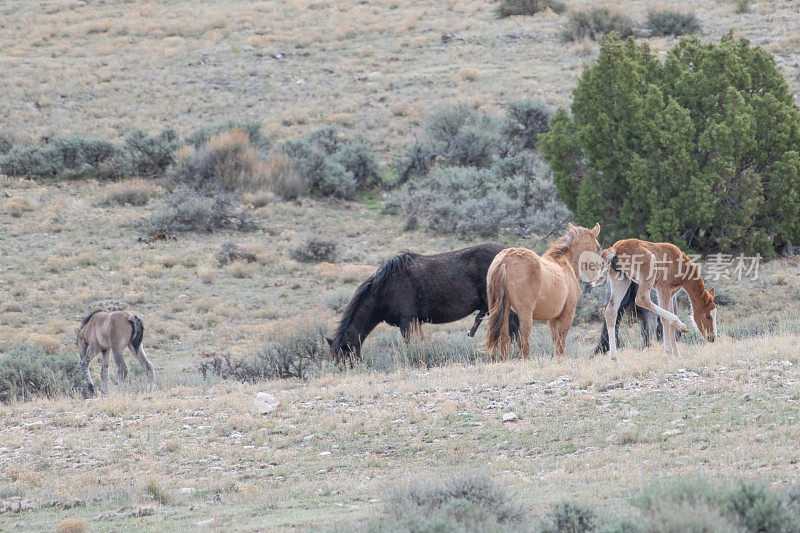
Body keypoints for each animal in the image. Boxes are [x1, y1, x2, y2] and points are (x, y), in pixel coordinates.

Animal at [326, 243, 520, 364]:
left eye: (344, 355)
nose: (345, 371)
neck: (384, 289)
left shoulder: (407, 322)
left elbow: (411, 345)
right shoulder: (414, 323)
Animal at [482, 222, 600, 360]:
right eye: (598, 248)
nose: (596, 277)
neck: (564, 263)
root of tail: (504, 260)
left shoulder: (553, 319)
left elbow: (556, 342)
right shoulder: (567, 314)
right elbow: (561, 343)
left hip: (503, 310)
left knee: (505, 338)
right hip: (525, 313)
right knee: (523, 340)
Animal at [592, 239, 720, 360]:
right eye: (707, 316)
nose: (712, 337)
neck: (681, 266)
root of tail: (615, 249)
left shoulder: (671, 293)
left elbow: (670, 319)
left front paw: (676, 354)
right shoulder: (663, 288)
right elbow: (666, 319)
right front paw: (670, 353)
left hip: (621, 279)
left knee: (611, 312)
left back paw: (615, 358)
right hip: (648, 270)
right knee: (642, 299)